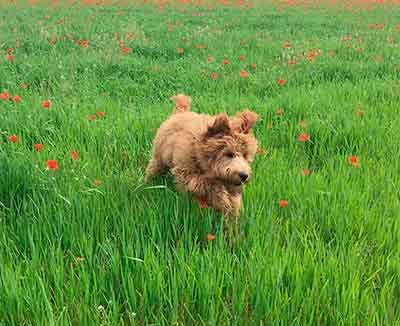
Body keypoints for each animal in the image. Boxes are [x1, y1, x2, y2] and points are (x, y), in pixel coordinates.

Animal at [145, 93, 258, 228]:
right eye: (229, 154)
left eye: (245, 156)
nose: (244, 175)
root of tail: (180, 112)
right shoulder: (186, 173)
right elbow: (208, 185)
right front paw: (221, 200)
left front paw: (231, 221)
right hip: (159, 157)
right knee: (153, 169)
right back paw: (145, 185)